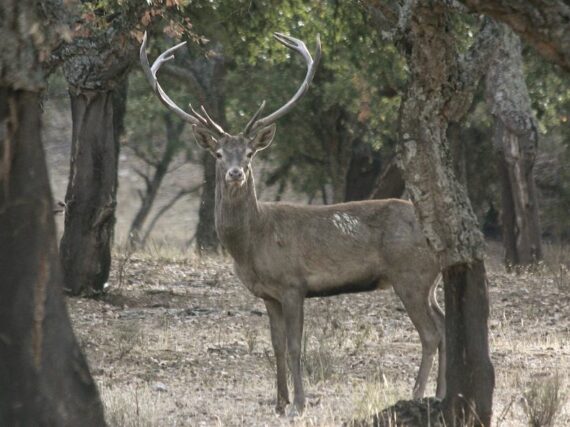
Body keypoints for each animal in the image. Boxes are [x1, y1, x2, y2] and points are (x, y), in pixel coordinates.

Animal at [141, 31, 444, 416]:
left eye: (250, 153)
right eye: (219, 154)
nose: (236, 173)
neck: (252, 244)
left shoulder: (293, 283)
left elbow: (297, 344)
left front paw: (300, 403)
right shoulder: (267, 293)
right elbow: (276, 345)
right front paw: (279, 402)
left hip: (410, 275)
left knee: (431, 334)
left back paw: (417, 395)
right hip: (429, 281)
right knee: (446, 326)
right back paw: (440, 393)